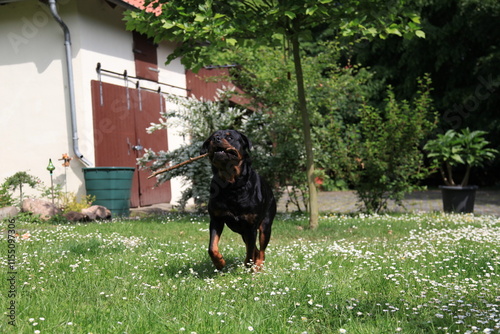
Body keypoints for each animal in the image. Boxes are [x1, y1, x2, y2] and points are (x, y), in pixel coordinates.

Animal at [200, 129, 278, 270]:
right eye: (212, 137)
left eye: (230, 137)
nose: (216, 139)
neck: (231, 185)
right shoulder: (216, 220)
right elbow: (212, 247)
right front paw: (219, 262)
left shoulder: (251, 225)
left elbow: (250, 251)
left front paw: (249, 265)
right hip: (242, 231)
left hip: (265, 224)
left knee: (261, 250)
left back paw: (258, 265)